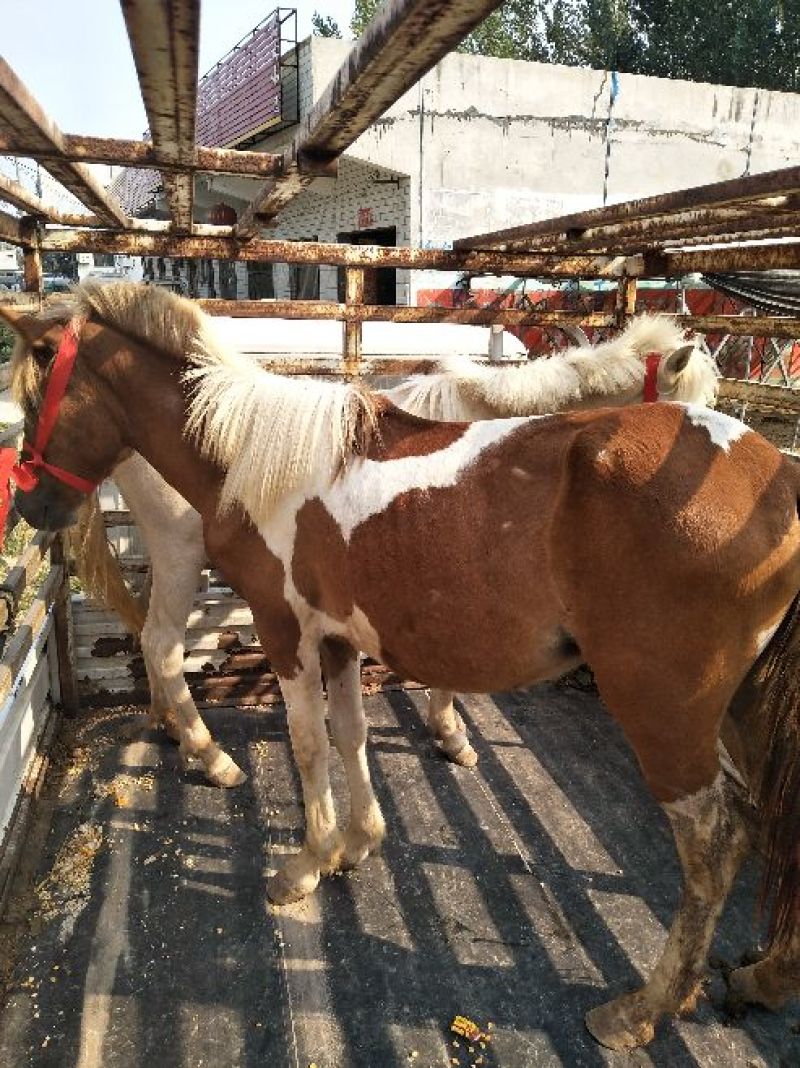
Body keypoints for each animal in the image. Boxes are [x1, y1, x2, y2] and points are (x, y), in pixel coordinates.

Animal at [68, 312, 719, 781]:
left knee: (149, 634)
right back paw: (209, 757)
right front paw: (452, 736)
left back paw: (168, 726)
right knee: (161, 642)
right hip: (181, 553)